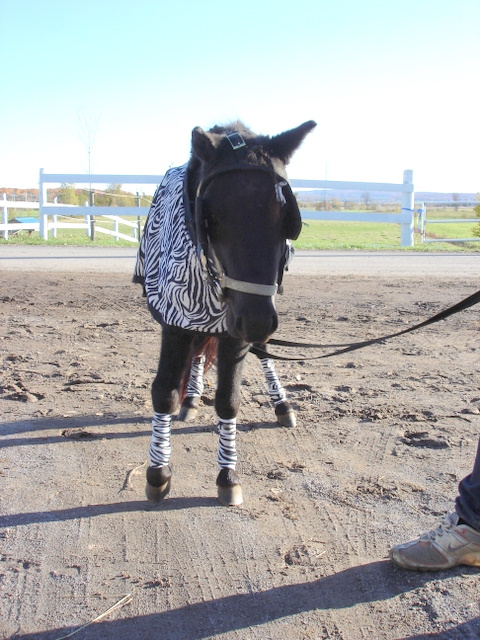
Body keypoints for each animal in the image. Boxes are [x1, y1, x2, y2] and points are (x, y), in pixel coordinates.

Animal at [133, 119, 317, 506]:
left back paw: (281, 404)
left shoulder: (238, 329)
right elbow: (164, 391)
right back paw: (191, 399)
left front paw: (228, 474)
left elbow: (229, 400)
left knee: (260, 351)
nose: (257, 320)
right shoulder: (176, 319)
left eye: (287, 219)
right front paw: (158, 471)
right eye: (212, 217)